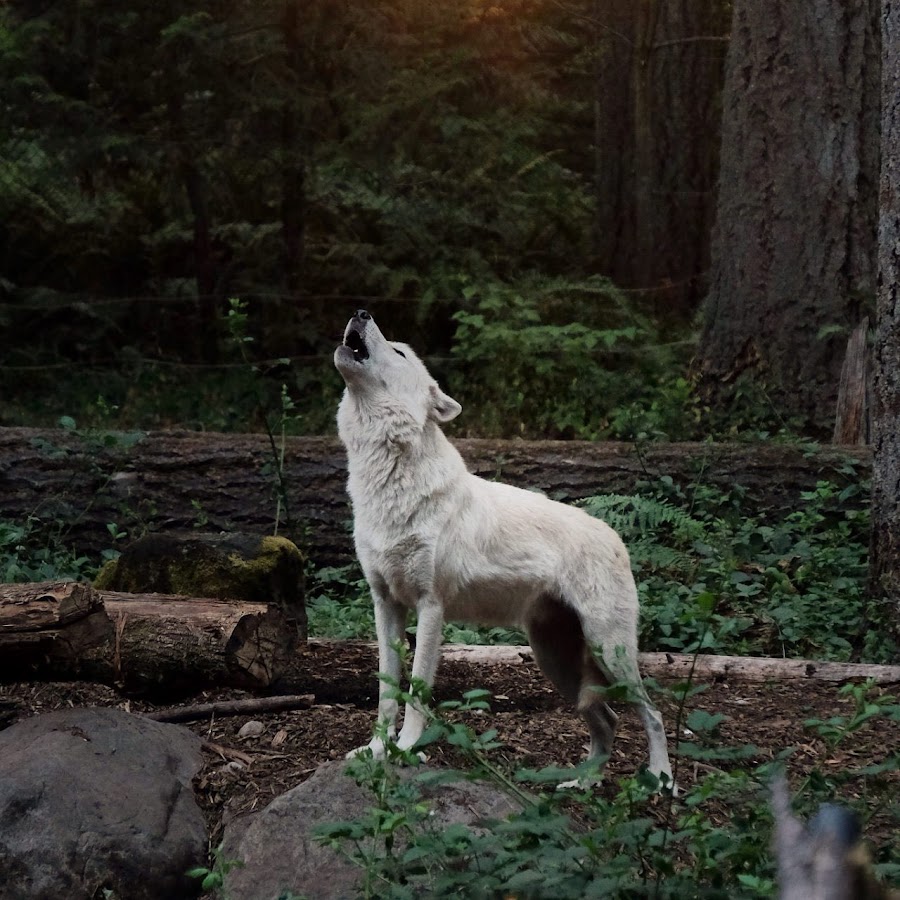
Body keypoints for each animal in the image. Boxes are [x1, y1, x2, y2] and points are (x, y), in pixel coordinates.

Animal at [334, 312, 672, 788]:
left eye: (399, 351)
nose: (361, 313)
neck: (389, 482)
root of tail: (614, 535)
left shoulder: (431, 607)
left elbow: (417, 690)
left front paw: (406, 749)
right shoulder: (385, 606)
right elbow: (386, 691)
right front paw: (377, 750)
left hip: (610, 652)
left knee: (653, 713)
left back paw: (662, 779)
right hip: (556, 661)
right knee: (608, 720)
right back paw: (582, 784)